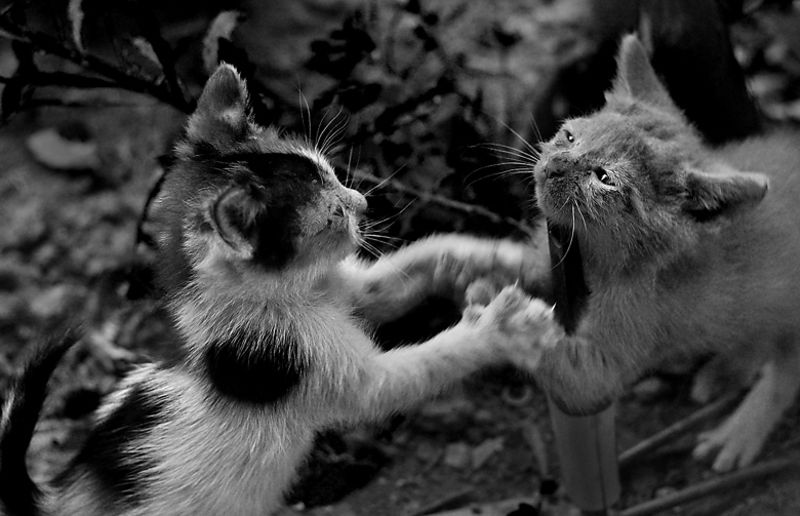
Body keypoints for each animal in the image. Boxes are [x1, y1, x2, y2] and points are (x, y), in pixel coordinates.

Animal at [0, 64, 554, 516]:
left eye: (333, 173)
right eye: (332, 216)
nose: (363, 202)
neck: (289, 296)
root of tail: (61, 497)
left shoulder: (344, 290)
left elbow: (400, 273)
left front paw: (486, 256)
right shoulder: (319, 363)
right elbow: (422, 365)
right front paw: (500, 326)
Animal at [512, 34, 800, 473]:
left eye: (604, 178)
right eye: (570, 136)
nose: (553, 167)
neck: (602, 260)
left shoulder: (603, 369)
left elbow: (564, 373)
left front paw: (491, 312)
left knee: (786, 368)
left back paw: (739, 429)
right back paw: (731, 366)